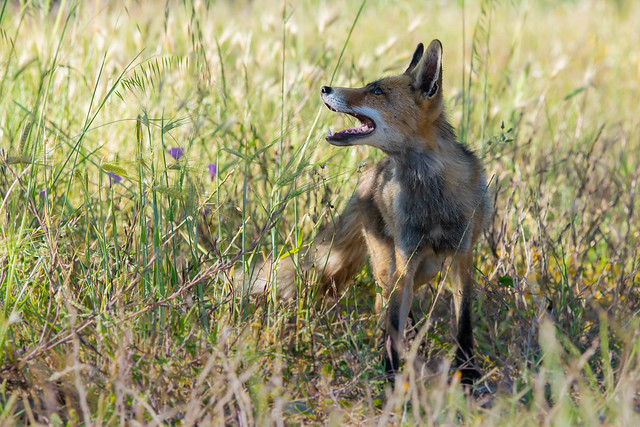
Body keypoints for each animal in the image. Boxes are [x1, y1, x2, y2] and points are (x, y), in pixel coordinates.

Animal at [245, 40, 490, 384]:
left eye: (376, 91)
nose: (324, 88)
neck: (431, 194)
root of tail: (370, 176)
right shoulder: (406, 256)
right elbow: (394, 323)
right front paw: (391, 377)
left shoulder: (462, 254)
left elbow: (464, 323)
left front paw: (467, 374)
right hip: (392, 265)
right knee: (383, 306)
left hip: (426, 268)